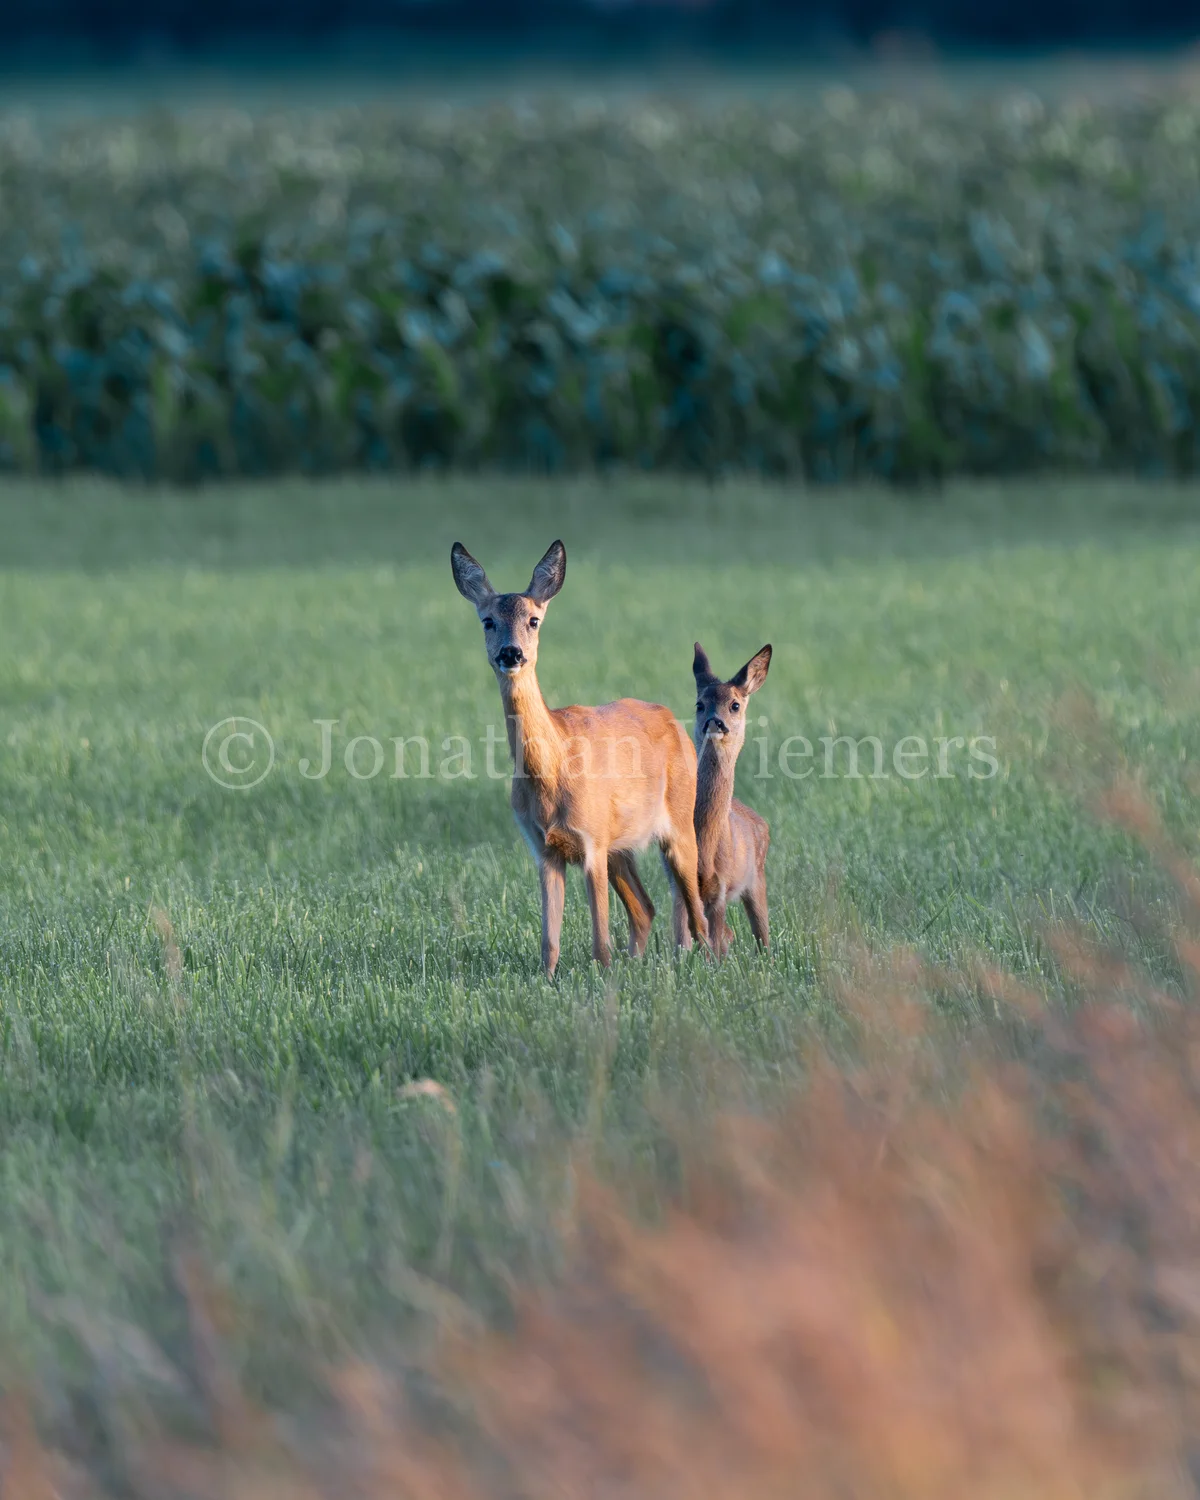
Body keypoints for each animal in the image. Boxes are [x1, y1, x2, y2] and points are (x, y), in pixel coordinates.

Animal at [451, 539, 710, 977]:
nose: (511, 653)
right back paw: (640, 961)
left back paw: (709, 959)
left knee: (696, 911)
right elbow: (548, 941)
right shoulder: (543, 849)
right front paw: (548, 979)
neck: (553, 772)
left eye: (534, 620)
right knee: (645, 908)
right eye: (488, 621)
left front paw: (603, 978)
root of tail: (672, 719)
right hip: (622, 846)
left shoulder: (592, 841)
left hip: (677, 822)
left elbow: (600, 941)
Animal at [692, 642, 772, 958]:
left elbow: (716, 944)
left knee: (761, 934)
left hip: (757, 878)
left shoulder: (722, 888)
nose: (715, 722)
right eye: (700, 704)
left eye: (735, 705)